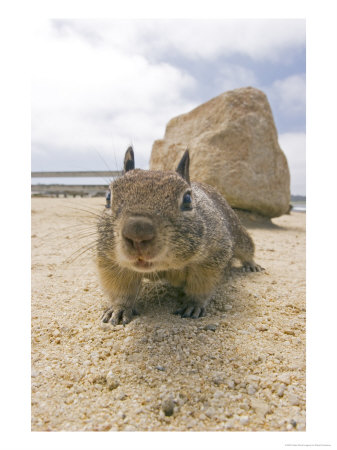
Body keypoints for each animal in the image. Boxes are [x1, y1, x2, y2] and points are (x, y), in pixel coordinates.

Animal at [96, 146, 262, 326]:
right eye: (108, 197)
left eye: (188, 199)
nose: (137, 234)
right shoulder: (112, 261)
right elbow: (121, 289)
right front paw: (118, 309)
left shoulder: (212, 257)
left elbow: (201, 287)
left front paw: (193, 305)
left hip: (240, 235)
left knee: (247, 250)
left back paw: (252, 265)